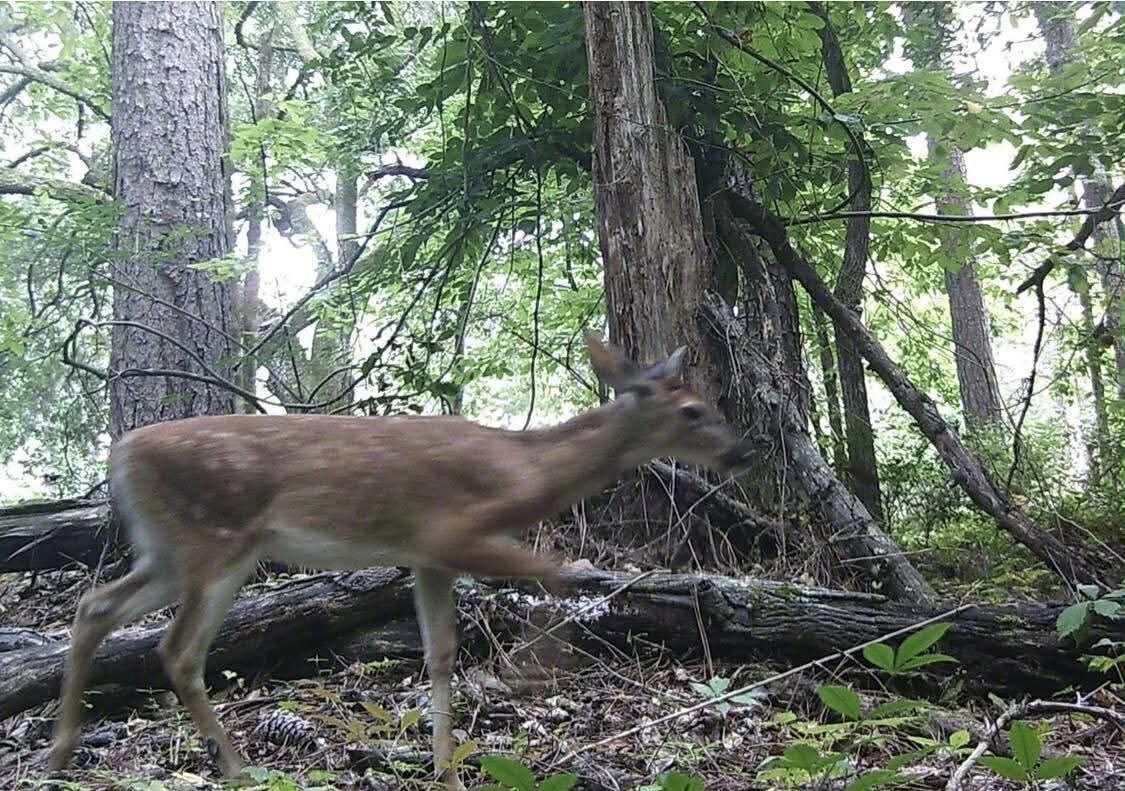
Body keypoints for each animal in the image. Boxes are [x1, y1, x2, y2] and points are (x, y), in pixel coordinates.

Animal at [48, 332, 752, 789]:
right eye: (693, 410)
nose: (742, 452)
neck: (523, 469)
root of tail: (120, 455)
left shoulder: (425, 557)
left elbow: (440, 652)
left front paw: (445, 767)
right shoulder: (452, 532)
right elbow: (555, 571)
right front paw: (540, 663)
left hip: (169, 550)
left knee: (95, 606)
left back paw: (60, 751)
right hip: (216, 542)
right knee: (177, 650)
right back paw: (239, 767)